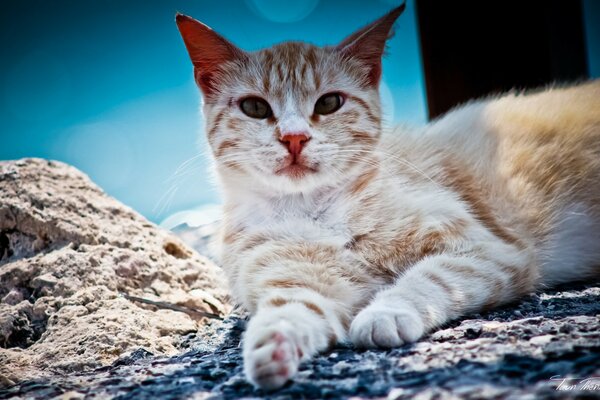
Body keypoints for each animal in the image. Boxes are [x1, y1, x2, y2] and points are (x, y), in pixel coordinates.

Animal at [176, 3, 600, 390]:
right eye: (254, 107)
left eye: (329, 103)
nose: (294, 138)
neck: (315, 211)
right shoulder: (300, 281)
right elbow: (291, 310)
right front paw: (273, 348)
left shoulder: (488, 250)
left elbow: (427, 278)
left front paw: (386, 314)